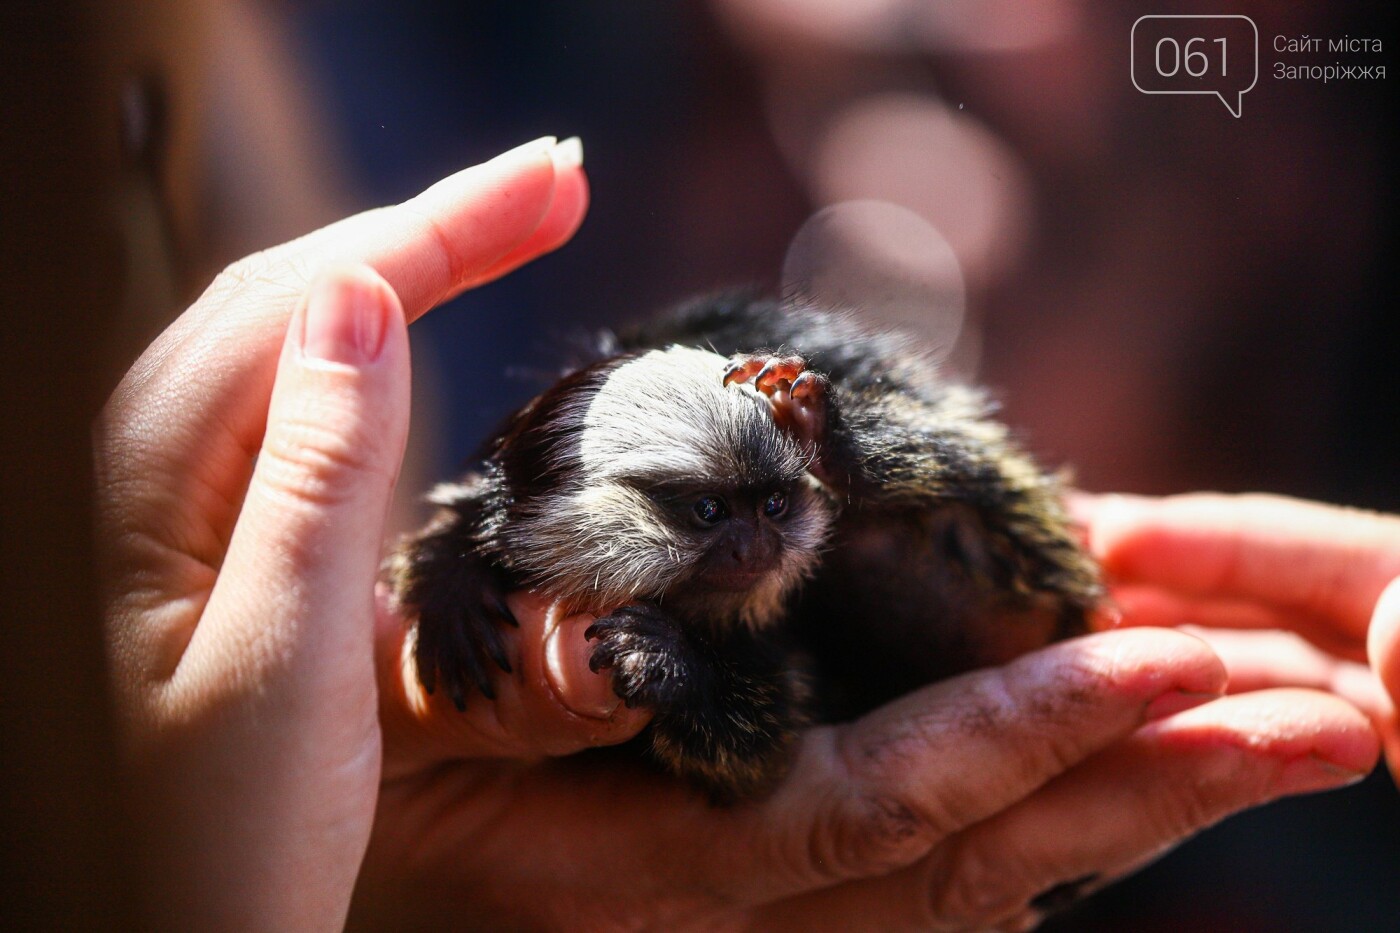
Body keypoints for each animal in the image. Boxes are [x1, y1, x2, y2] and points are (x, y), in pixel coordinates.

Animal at [389, 292, 1097, 801]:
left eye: (774, 506)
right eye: (710, 512)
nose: (757, 546)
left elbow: (759, 748)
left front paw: (672, 663)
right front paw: (455, 580)